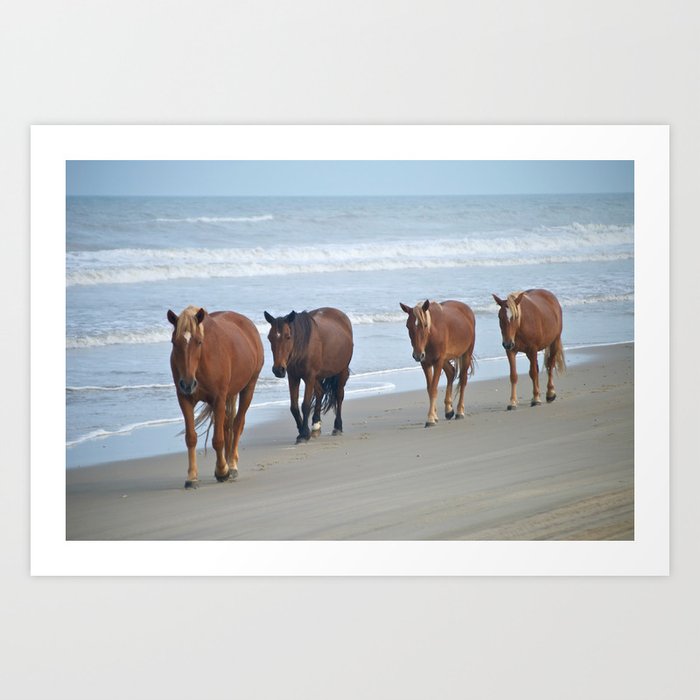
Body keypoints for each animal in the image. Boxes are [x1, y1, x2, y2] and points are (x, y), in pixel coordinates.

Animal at [168, 306, 264, 486]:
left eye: (199, 342)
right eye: (174, 342)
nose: (187, 384)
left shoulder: (219, 398)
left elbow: (218, 440)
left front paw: (222, 471)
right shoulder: (184, 399)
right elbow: (191, 437)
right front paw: (192, 476)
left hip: (248, 387)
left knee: (237, 424)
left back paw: (231, 464)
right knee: (227, 425)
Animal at [262, 308, 352, 442]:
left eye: (288, 337)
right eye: (269, 338)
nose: (278, 370)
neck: (302, 348)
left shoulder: (309, 377)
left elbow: (305, 405)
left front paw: (304, 433)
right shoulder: (293, 377)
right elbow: (294, 407)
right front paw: (302, 431)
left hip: (342, 370)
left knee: (339, 395)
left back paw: (337, 427)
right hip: (317, 377)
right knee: (320, 392)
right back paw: (316, 424)